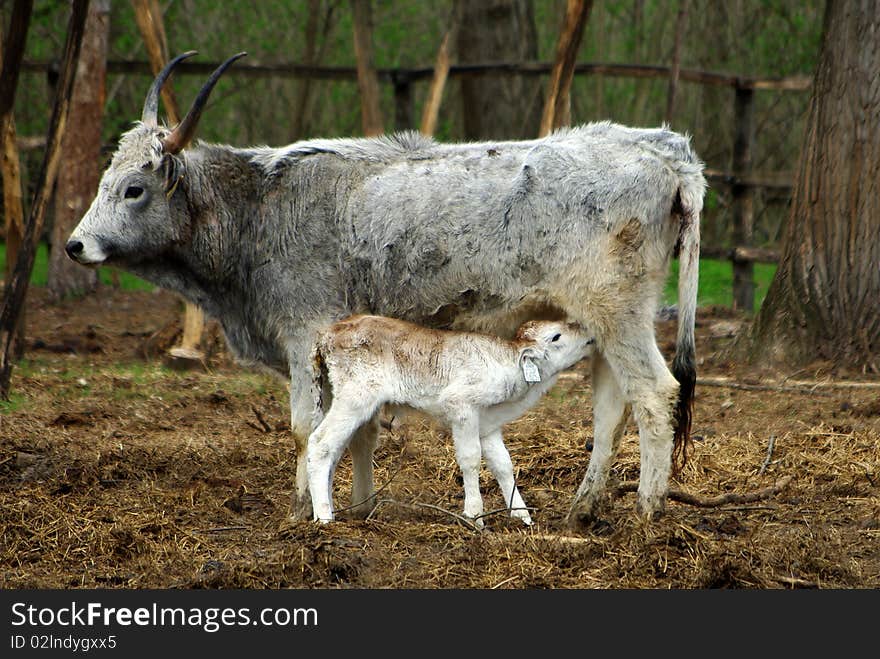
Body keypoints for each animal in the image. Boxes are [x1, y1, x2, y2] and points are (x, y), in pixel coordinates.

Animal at [306, 318, 596, 528]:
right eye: (556, 336)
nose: (588, 332)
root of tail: (327, 333)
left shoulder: (488, 424)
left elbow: (503, 464)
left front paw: (521, 515)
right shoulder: (461, 406)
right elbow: (471, 459)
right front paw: (474, 516)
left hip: (336, 396)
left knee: (332, 451)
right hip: (356, 397)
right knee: (319, 443)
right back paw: (324, 517)